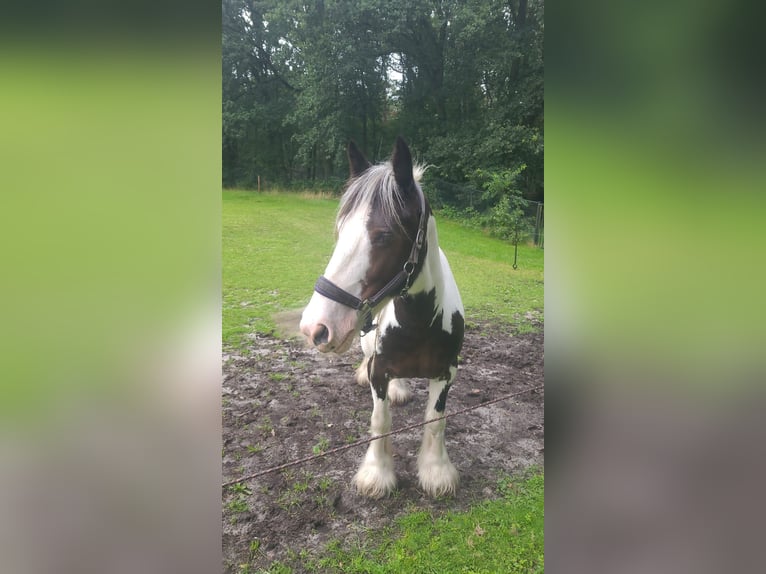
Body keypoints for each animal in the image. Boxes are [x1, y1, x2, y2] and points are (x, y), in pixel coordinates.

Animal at [302, 136, 468, 500]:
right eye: (340, 230)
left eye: (383, 235)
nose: (315, 327)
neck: (421, 323)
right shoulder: (379, 371)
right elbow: (380, 421)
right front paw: (376, 475)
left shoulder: (446, 372)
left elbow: (436, 421)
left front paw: (436, 472)